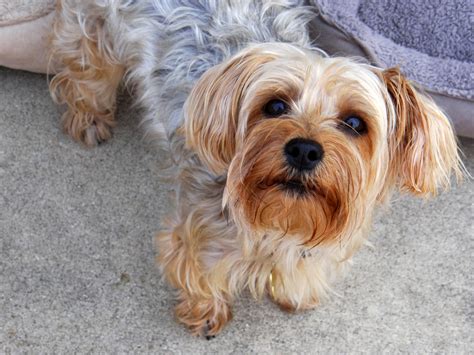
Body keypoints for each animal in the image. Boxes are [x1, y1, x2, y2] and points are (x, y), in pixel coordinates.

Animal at [49, 0, 462, 340]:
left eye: (355, 123)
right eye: (275, 106)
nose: (304, 149)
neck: (281, 219)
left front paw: (296, 294)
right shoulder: (198, 229)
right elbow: (198, 270)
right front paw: (206, 312)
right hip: (95, 26)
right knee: (86, 64)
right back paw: (88, 116)